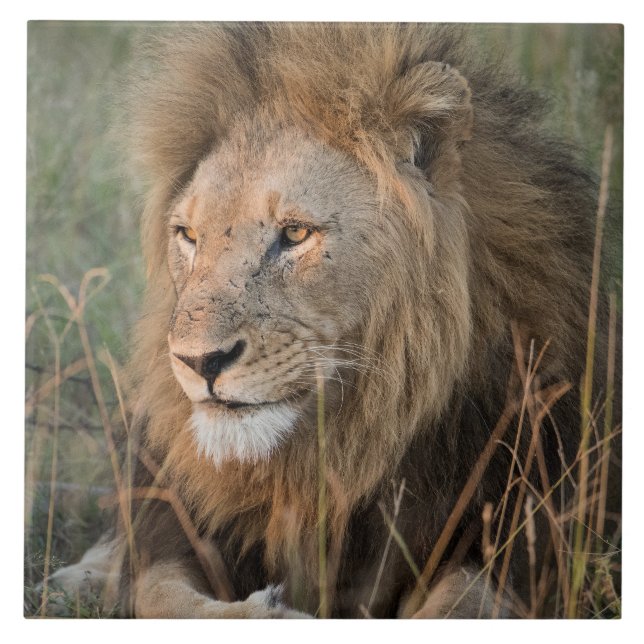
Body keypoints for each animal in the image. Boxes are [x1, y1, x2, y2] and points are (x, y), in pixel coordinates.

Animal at [50, 23, 612, 618]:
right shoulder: (177, 528)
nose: (198, 361)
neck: (335, 448)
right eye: (188, 236)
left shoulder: (516, 534)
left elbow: (460, 605)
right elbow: (161, 596)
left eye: (296, 233)